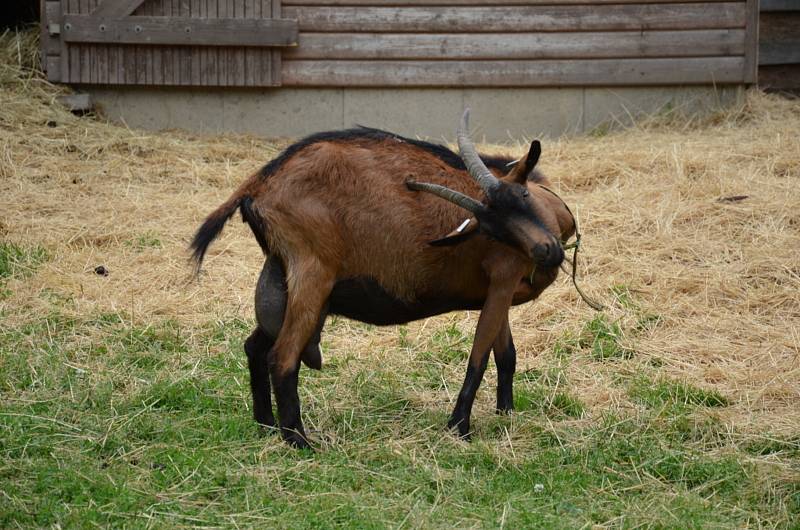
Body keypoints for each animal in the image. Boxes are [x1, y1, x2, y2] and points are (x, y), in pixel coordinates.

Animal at [191, 110, 580, 446]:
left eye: (523, 196)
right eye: (490, 227)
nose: (546, 251)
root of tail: (257, 185)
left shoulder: (497, 290)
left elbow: (506, 355)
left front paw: (506, 415)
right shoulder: (502, 278)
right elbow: (479, 357)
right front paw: (459, 428)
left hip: (281, 277)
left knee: (255, 346)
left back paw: (267, 426)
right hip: (313, 274)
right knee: (282, 356)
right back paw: (299, 441)